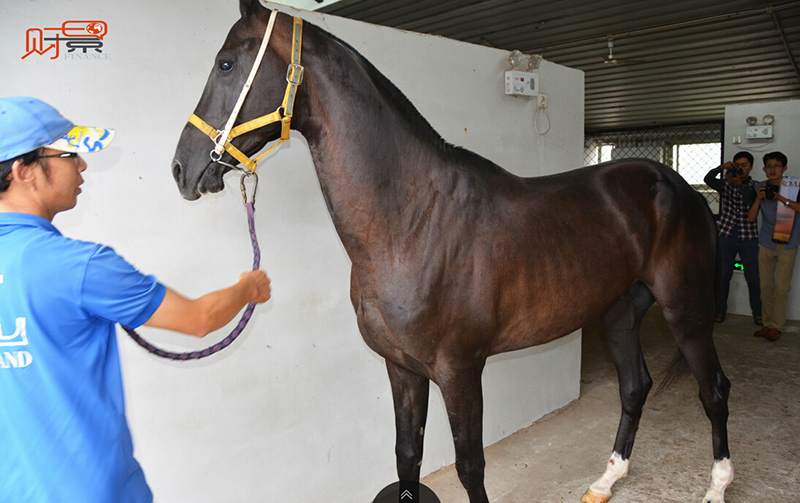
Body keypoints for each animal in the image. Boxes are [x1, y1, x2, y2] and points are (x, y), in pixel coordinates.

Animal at [172, 1, 736, 502]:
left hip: (686, 312)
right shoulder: (401, 368)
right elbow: (407, 457)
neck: (412, 222)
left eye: (226, 63)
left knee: (714, 390)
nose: (181, 168)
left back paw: (717, 486)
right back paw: (604, 482)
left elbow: (470, 467)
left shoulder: (460, 371)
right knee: (635, 387)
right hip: (618, 310)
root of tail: (680, 189)